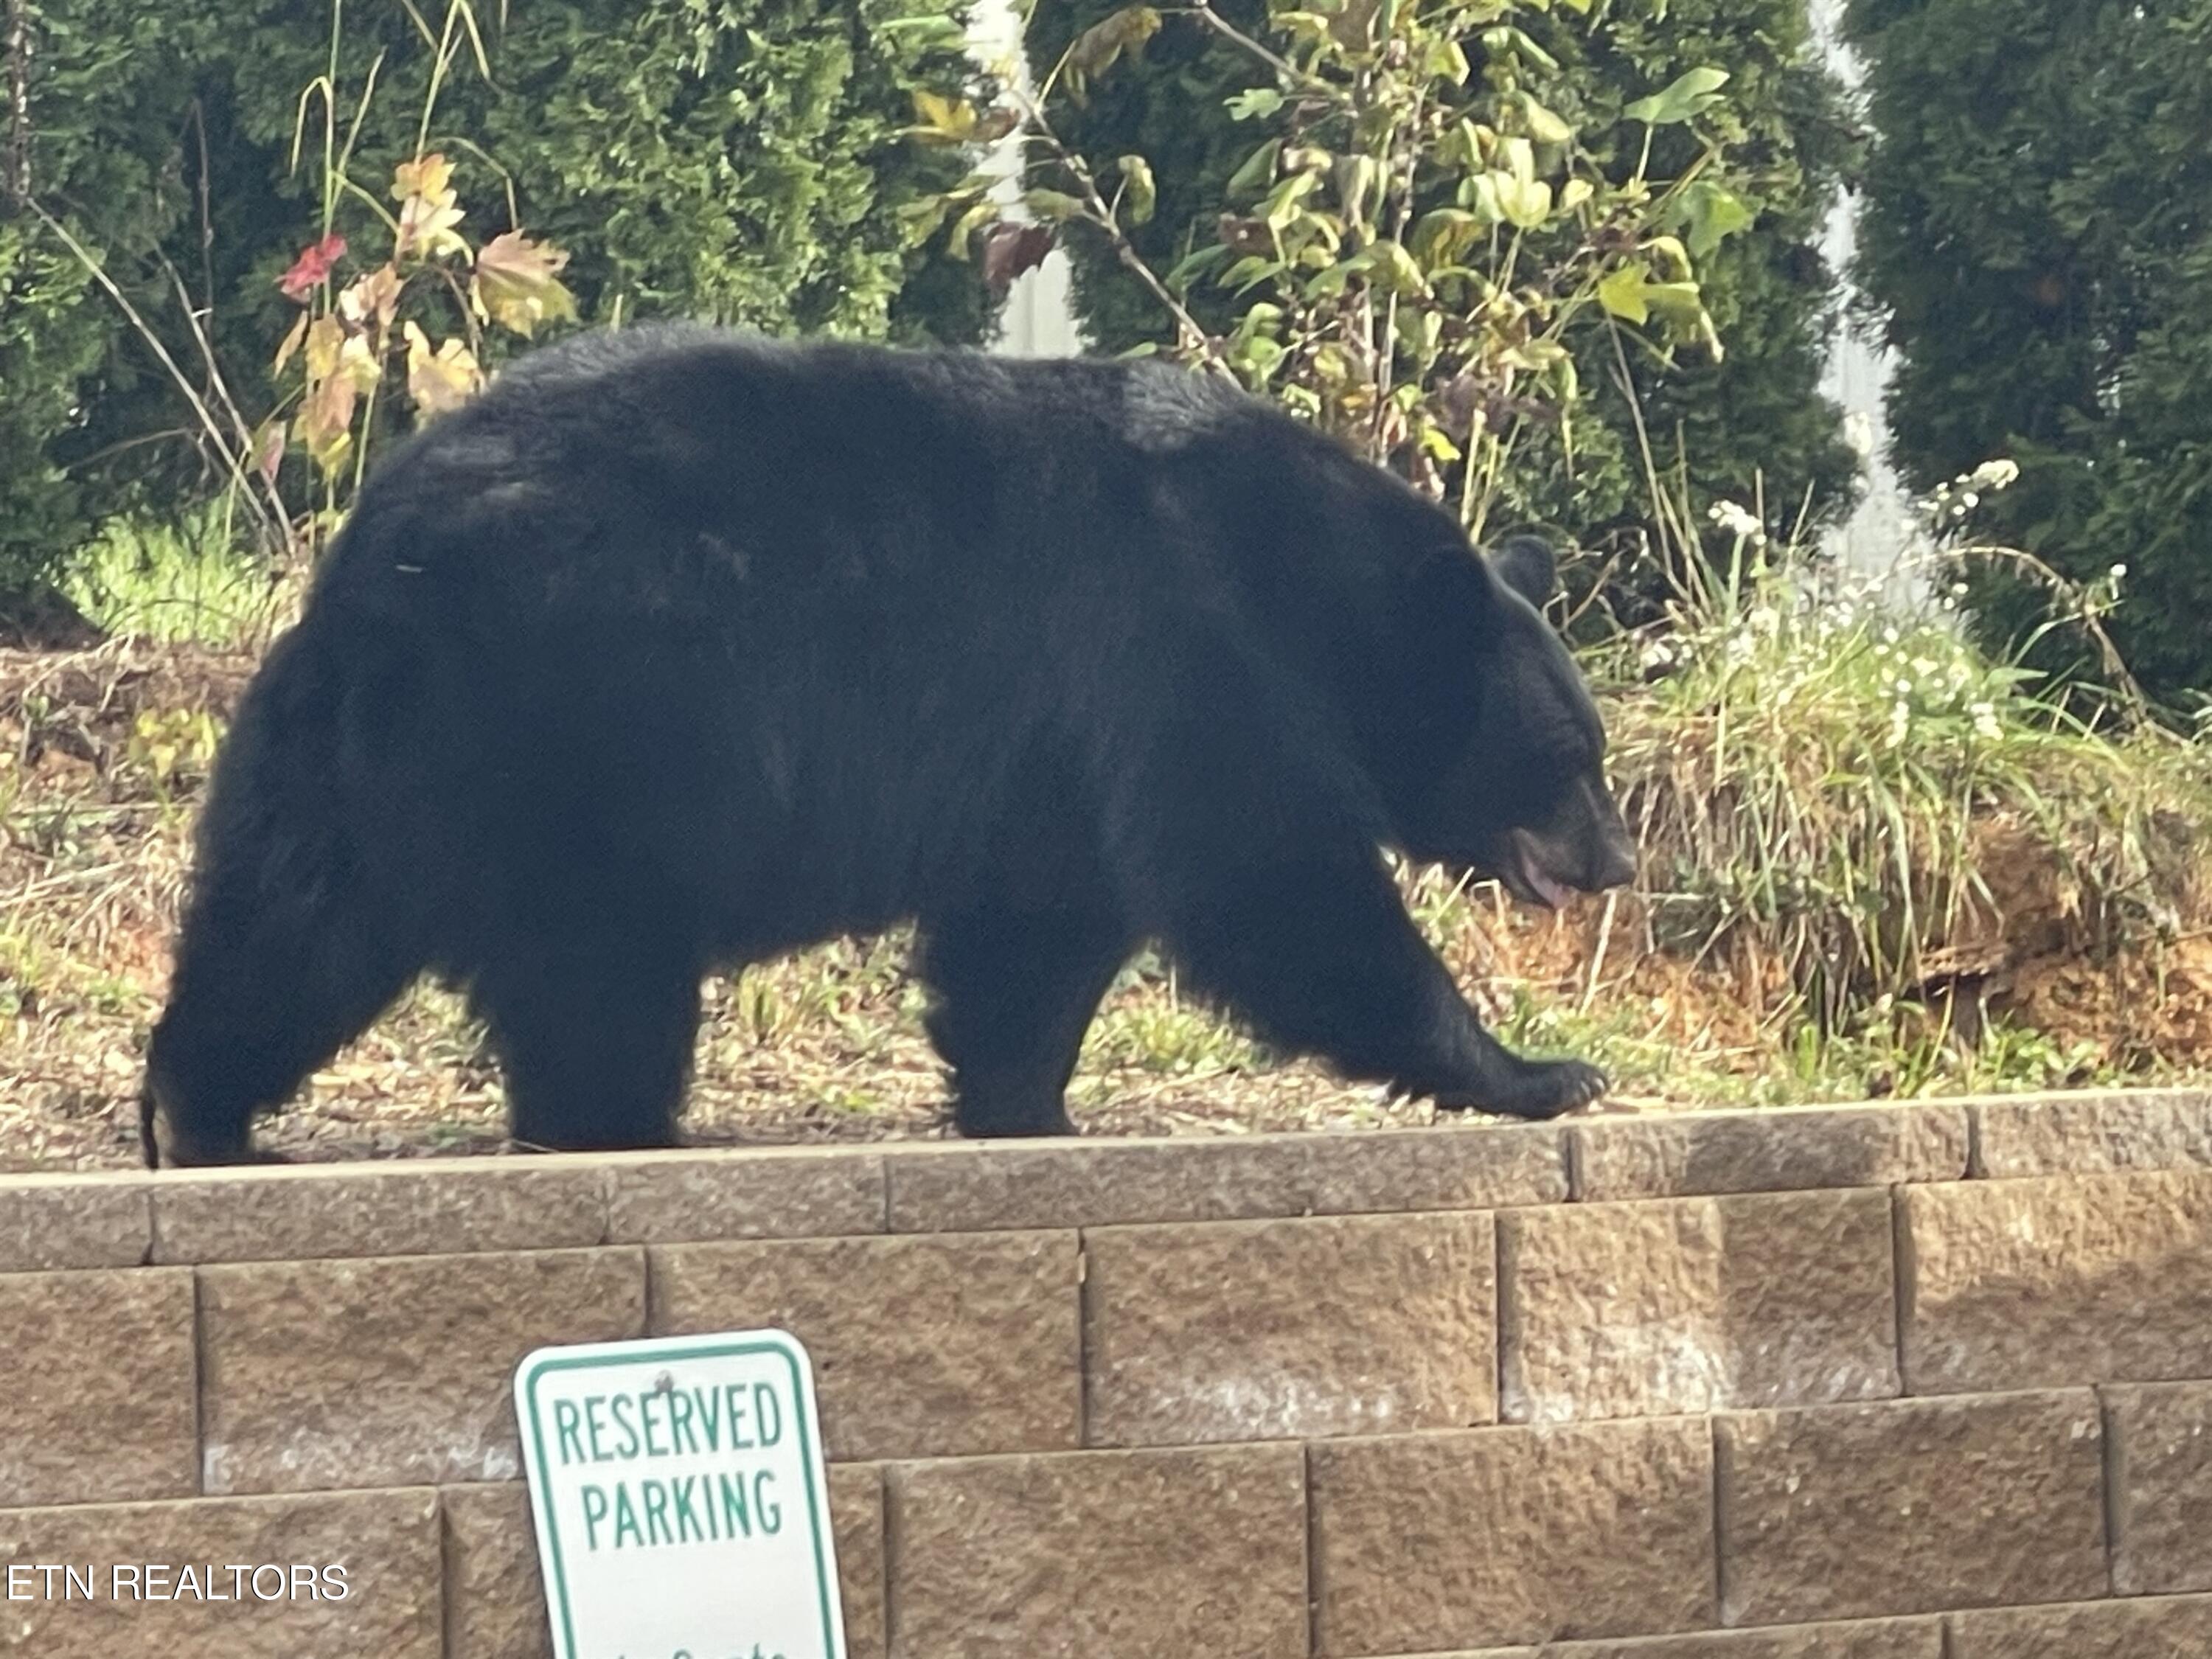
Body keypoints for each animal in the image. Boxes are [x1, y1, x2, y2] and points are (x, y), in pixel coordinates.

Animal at [133, 327, 1628, 1168]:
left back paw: (198, 1113)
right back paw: (617, 1126)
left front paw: (1024, 1104)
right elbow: (1278, 887)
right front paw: (1541, 1071)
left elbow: (1034, 925)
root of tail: (383, 556)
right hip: (603, 726)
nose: (1615, 862)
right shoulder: (1182, 655)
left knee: (294, 926)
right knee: (594, 967)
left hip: (350, 759)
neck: (1307, 590)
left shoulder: (1060, 745)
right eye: (1566, 753)